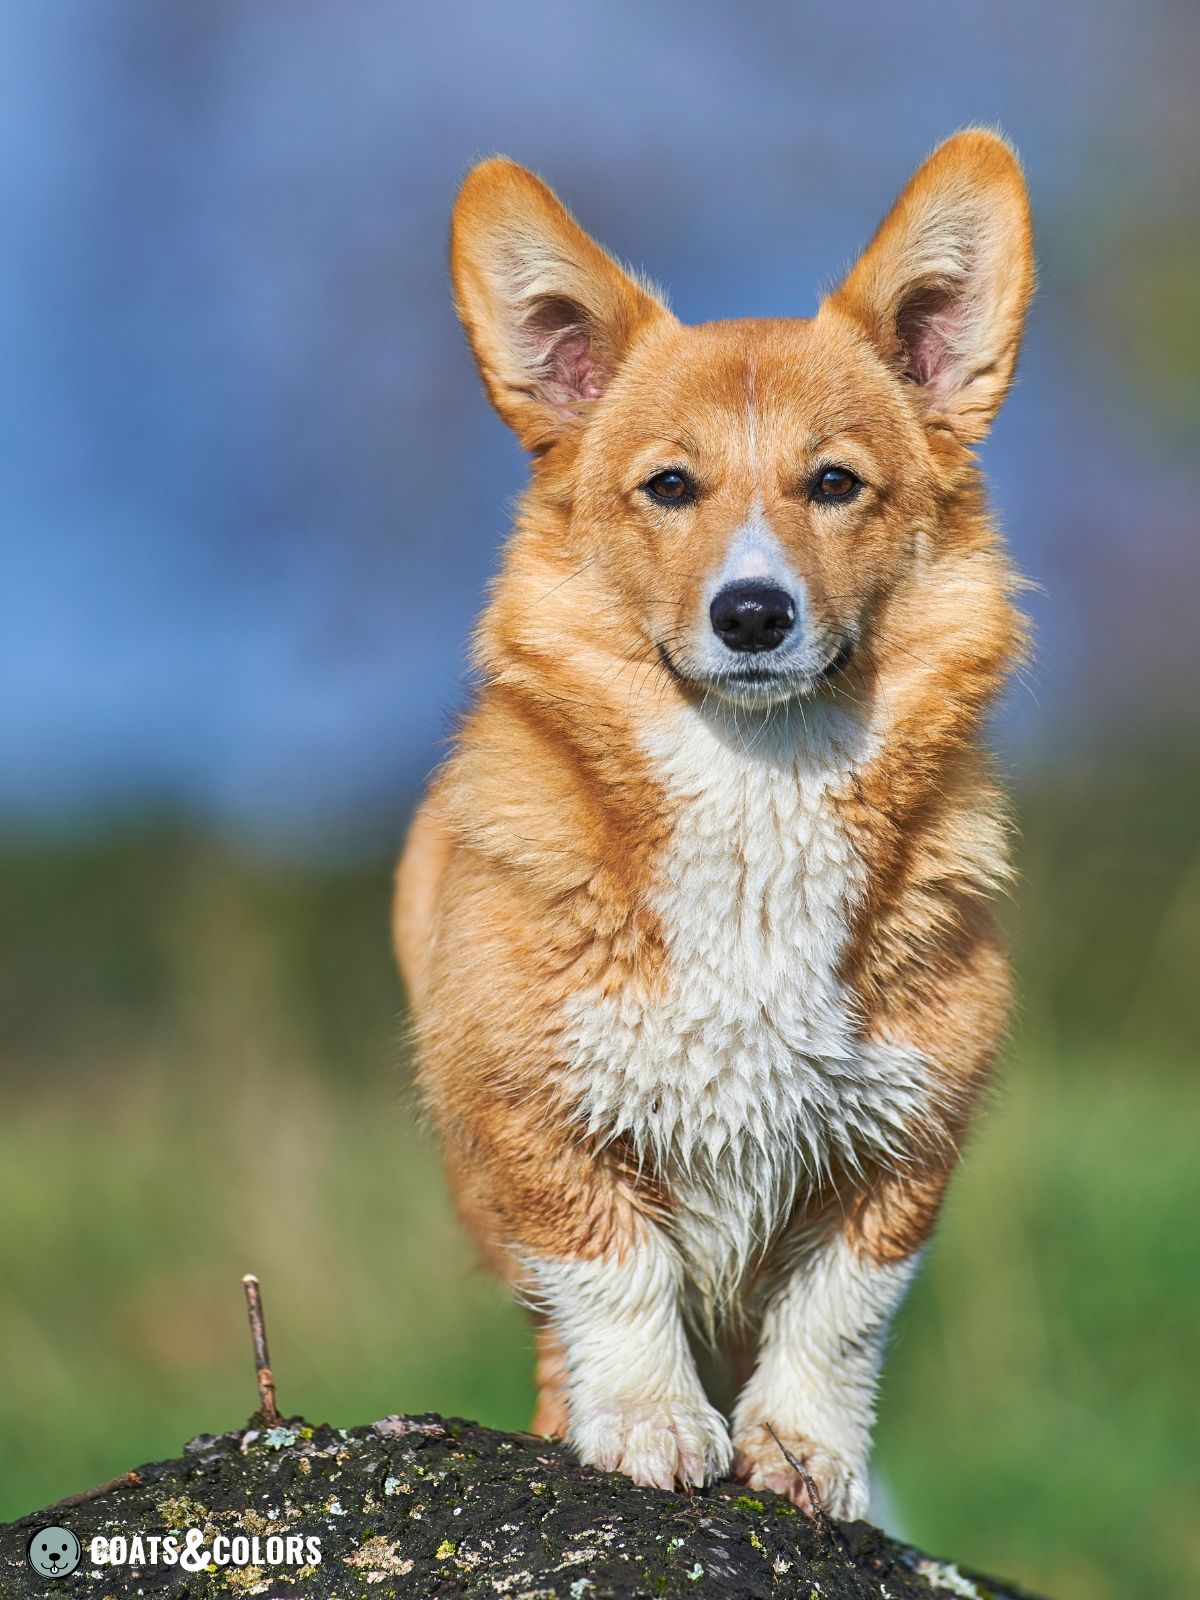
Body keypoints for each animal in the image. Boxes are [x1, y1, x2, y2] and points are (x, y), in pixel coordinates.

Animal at [395, 131, 1036, 1516]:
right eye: (671, 486)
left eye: (835, 483)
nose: (753, 613)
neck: (758, 792)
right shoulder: (535, 1119)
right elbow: (614, 1274)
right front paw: (646, 1424)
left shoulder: (901, 1145)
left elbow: (837, 1316)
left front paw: (803, 1455)